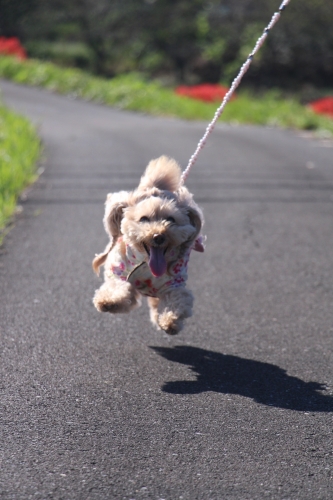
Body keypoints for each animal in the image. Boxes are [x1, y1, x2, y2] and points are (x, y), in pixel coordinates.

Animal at [92, 156, 204, 336]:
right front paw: (108, 301)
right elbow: (118, 289)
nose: (158, 236)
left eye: (171, 219)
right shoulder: (121, 273)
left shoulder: (174, 284)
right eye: (144, 219)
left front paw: (170, 321)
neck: (148, 268)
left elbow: (178, 299)